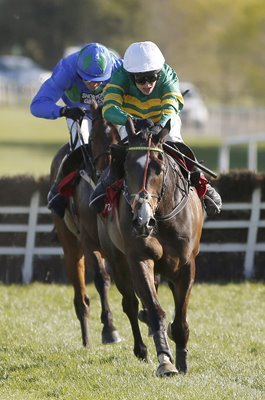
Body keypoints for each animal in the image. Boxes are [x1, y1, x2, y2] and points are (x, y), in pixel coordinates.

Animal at [49, 101, 120, 348]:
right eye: (96, 136)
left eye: (119, 136)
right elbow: (101, 278)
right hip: (71, 245)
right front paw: (110, 329)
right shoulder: (89, 242)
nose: (108, 172)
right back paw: (86, 338)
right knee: (80, 296)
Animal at [96, 119, 202, 378]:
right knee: (131, 304)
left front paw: (182, 361)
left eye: (159, 167)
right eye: (126, 167)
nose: (142, 220)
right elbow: (155, 311)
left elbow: (180, 319)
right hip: (117, 259)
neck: (162, 217)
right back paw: (141, 349)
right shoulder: (139, 258)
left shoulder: (186, 265)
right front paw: (165, 361)